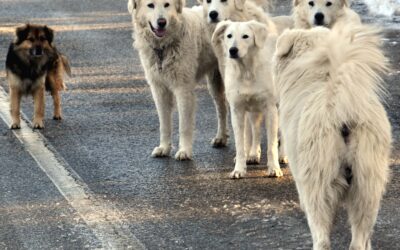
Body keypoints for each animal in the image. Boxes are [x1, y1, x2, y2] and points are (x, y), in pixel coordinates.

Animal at [128, 0, 228, 160]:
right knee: (222, 108)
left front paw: (184, 151)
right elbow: (164, 123)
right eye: (151, 5)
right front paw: (164, 148)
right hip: (215, 83)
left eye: (167, 4)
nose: (162, 22)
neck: (163, 48)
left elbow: (184, 125)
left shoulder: (183, 89)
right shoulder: (159, 90)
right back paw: (221, 138)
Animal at [211, 20, 282, 179]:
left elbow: (272, 145)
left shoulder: (270, 109)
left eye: (245, 36)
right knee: (254, 131)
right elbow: (241, 143)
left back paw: (283, 156)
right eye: (229, 36)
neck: (246, 72)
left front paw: (274, 168)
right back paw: (253, 154)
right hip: (252, 110)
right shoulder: (237, 110)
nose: (233, 50)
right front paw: (239, 169)